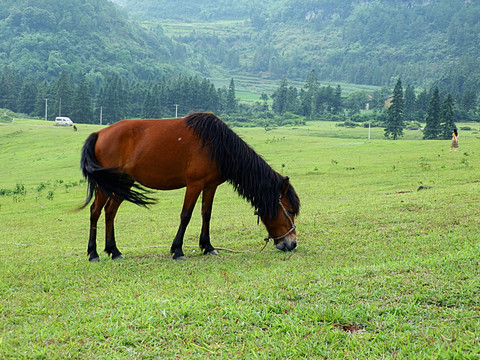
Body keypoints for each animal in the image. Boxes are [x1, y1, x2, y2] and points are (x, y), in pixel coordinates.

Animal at [81, 111, 300, 260]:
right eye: (289, 211)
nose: (292, 243)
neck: (217, 145)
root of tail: (99, 133)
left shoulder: (210, 186)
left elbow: (206, 214)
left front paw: (208, 247)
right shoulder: (194, 185)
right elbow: (186, 215)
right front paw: (177, 249)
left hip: (122, 183)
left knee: (110, 212)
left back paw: (114, 251)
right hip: (108, 184)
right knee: (95, 211)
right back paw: (93, 253)